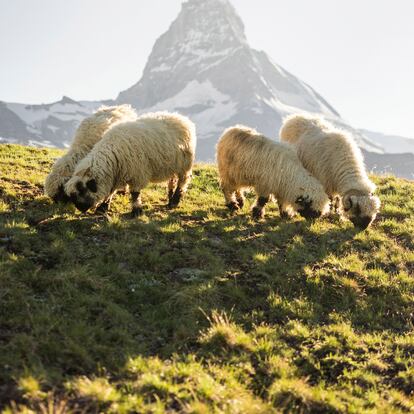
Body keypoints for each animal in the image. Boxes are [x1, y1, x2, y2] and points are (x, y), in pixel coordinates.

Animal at [65, 111, 197, 218]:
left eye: (82, 190)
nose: (80, 209)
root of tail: (181, 118)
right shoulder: (117, 174)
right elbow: (110, 192)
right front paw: (102, 208)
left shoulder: (137, 173)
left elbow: (135, 194)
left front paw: (136, 211)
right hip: (173, 165)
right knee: (172, 180)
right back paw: (169, 199)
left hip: (184, 165)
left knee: (183, 182)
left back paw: (175, 200)